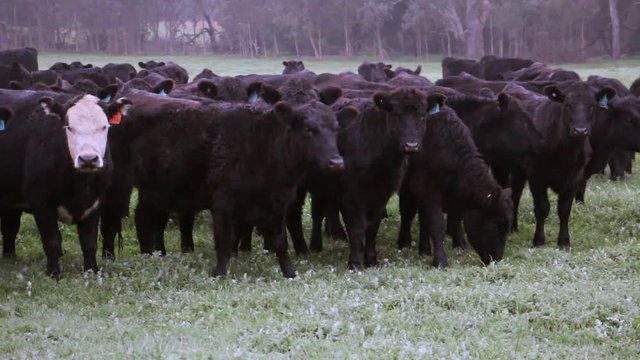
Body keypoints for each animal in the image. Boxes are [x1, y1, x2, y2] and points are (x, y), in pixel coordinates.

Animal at [398, 105, 512, 266]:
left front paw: (460, 245)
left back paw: (424, 249)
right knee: (407, 212)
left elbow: (454, 218)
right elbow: (436, 223)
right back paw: (404, 242)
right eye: (494, 225)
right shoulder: (427, 188)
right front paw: (440, 260)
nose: (495, 259)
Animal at [502, 82, 616, 249]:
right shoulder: (536, 176)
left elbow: (564, 209)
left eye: (592, 106)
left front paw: (564, 241)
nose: (580, 130)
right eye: (567, 105)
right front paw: (539, 240)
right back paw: (512, 228)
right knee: (514, 195)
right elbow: (542, 208)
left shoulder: (574, 178)